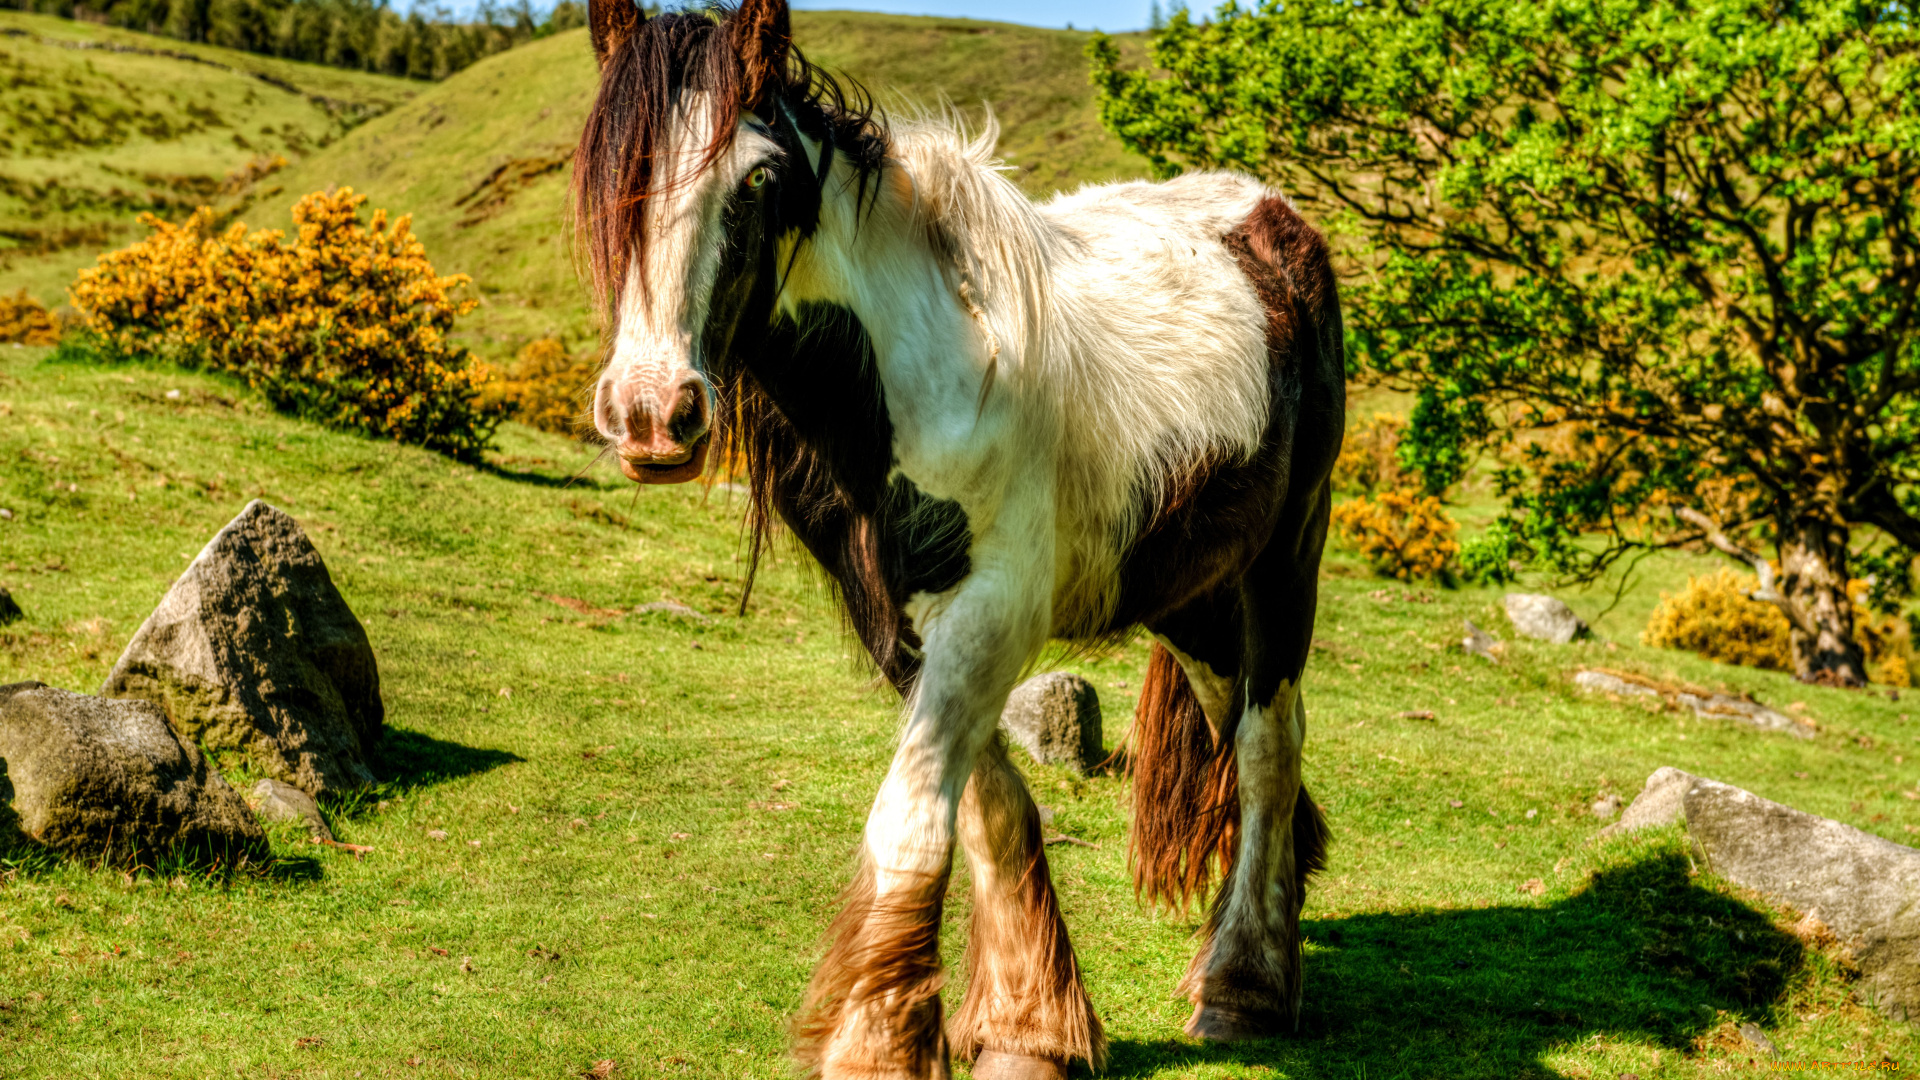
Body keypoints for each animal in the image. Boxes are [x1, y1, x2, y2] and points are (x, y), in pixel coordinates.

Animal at [572, 4, 1351, 1068]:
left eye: (759, 178)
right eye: (611, 171)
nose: (653, 414)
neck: (918, 373)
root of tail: (1275, 219)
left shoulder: (989, 613)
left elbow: (911, 820)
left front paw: (875, 1049)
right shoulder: (902, 626)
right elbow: (987, 808)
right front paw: (1028, 1027)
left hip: (1284, 558)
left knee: (1270, 741)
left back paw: (1244, 987)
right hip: (1189, 590)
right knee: (1234, 729)